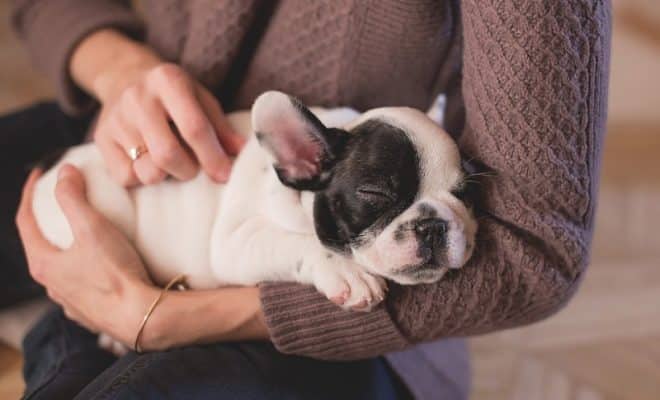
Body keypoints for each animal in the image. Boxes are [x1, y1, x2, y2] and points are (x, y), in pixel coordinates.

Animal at [0, 91, 476, 354]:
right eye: (375, 194)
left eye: (465, 193)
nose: (434, 225)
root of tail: (52, 163)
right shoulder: (235, 243)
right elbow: (299, 243)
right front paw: (346, 272)